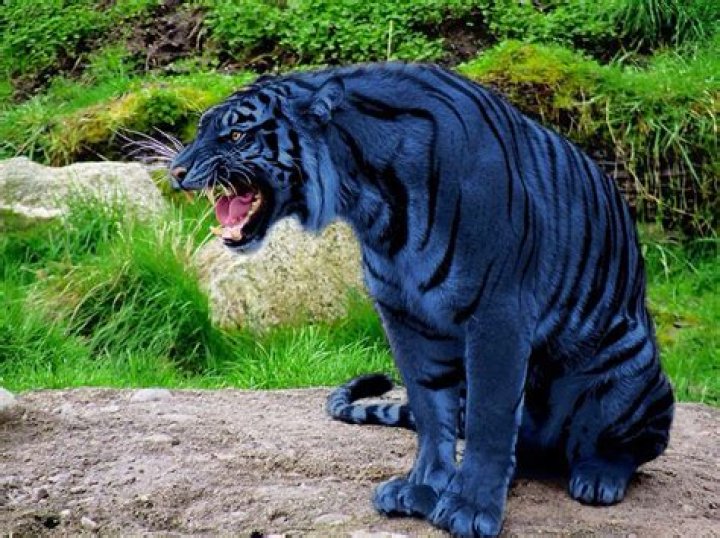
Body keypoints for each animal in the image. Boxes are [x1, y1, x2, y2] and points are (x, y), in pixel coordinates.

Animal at [169, 63, 674, 537]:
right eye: (202, 128)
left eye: (236, 135)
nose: (175, 171)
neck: (372, 202)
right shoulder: (405, 315)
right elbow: (431, 409)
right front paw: (425, 488)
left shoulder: (498, 312)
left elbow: (492, 416)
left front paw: (470, 508)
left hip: (633, 364)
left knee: (634, 445)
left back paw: (598, 477)